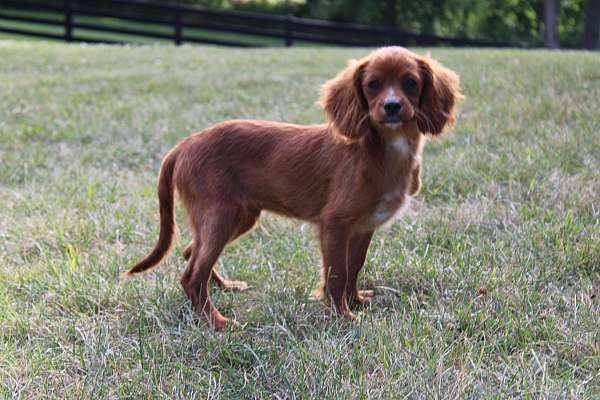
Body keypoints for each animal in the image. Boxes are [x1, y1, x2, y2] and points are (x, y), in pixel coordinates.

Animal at [124, 47, 462, 330]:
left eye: (410, 83)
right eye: (373, 85)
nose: (392, 107)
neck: (383, 150)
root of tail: (184, 144)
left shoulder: (364, 226)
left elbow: (354, 266)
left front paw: (355, 301)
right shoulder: (334, 224)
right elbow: (337, 274)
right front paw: (342, 316)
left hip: (238, 217)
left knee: (190, 251)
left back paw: (225, 287)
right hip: (221, 215)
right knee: (192, 276)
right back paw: (216, 322)